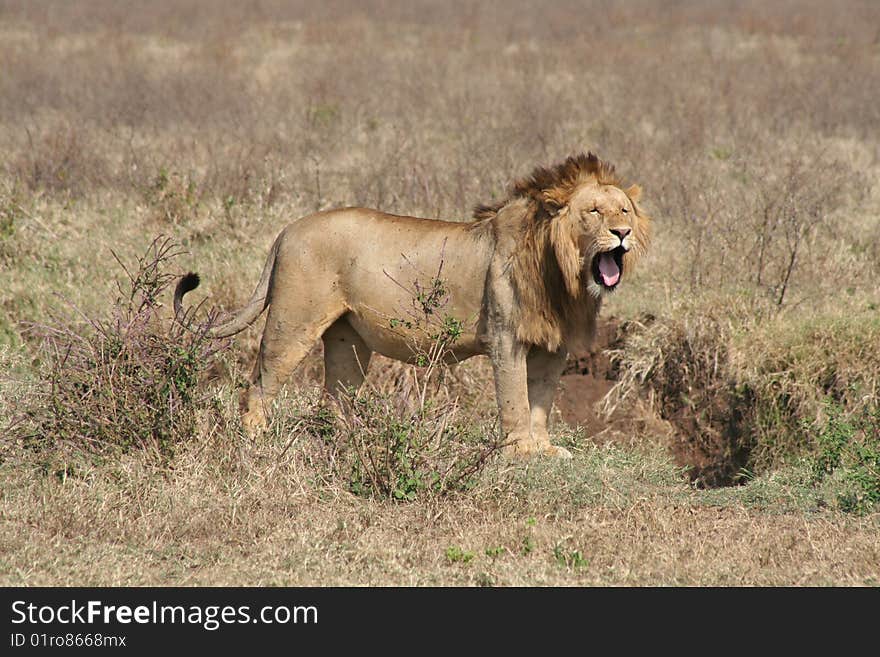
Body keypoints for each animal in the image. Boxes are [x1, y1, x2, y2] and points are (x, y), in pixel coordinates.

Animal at [175, 153, 648, 456]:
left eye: (624, 210)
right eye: (594, 211)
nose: (622, 233)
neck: (563, 275)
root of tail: (287, 230)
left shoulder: (554, 346)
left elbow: (541, 401)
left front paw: (546, 450)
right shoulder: (506, 337)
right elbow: (515, 398)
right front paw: (521, 452)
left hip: (348, 340)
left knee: (335, 397)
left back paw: (349, 442)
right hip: (293, 322)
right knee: (258, 385)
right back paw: (256, 440)